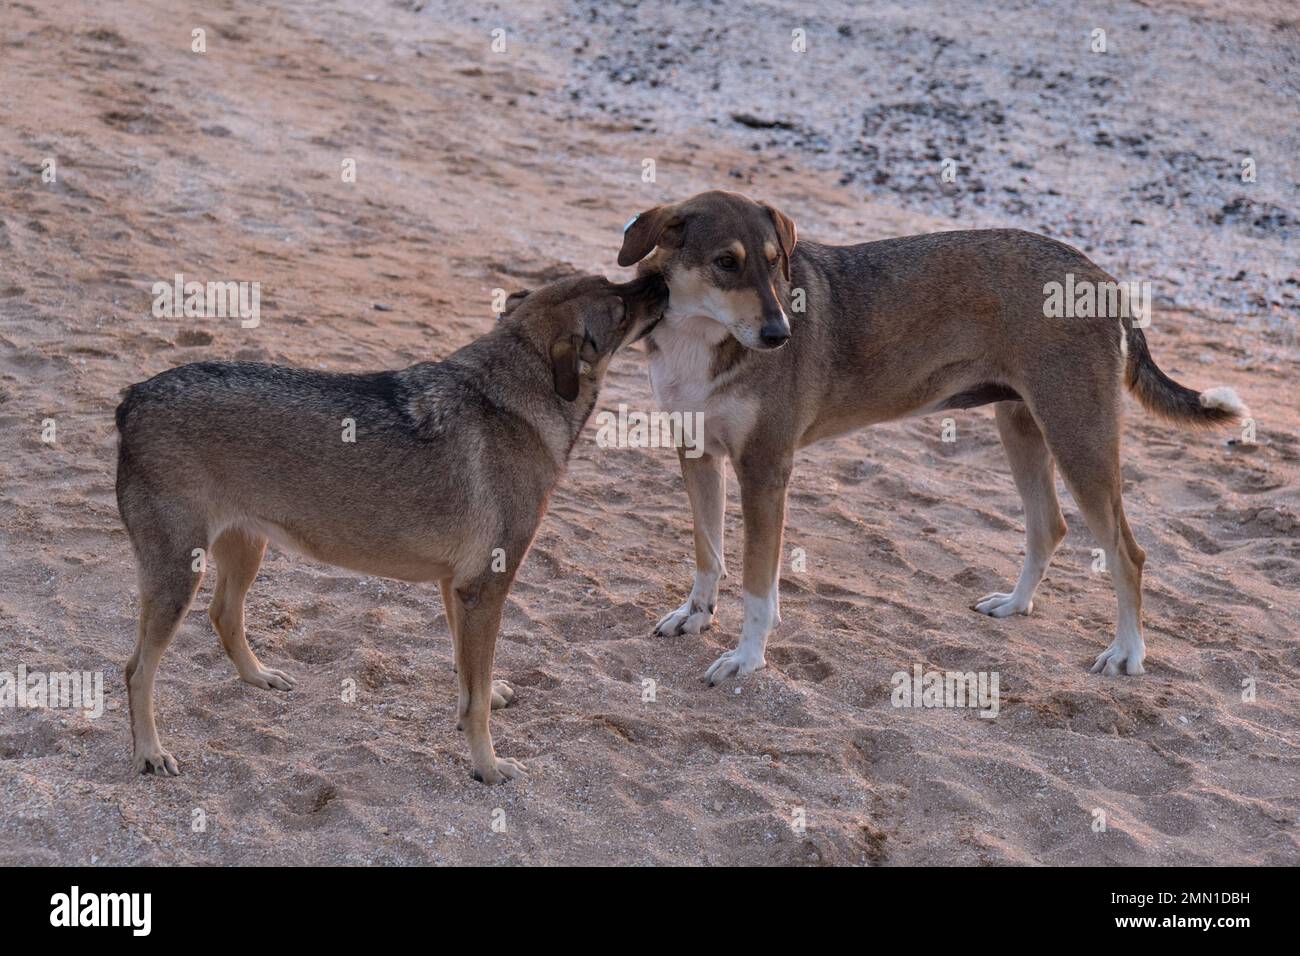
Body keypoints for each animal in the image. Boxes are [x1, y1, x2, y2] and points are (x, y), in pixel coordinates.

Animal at [118, 273, 670, 780]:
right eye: (621, 305)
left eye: (616, 282)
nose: (660, 279)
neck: (511, 400)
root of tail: (133, 395)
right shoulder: (484, 589)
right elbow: (475, 700)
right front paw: (487, 765)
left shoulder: (458, 588)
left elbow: (471, 677)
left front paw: (485, 701)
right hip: (179, 578)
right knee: (137, 670)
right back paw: (149, 752)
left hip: (245, 553)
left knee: (223, 617)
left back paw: (258, 677)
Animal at [618, 191, 1248, 686]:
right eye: (726, 263)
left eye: (776, 265)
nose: (780, 334)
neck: (703, 335)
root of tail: (1104, 278)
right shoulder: (698, 453)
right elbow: (708, 553)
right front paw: (697, 615)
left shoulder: (765, 472)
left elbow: (755, 587)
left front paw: (747, 659)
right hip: (1025, 428)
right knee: (1049, 526)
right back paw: (1016, 604)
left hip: (1078, 440)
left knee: (1127, 554)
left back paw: (1127, 653)